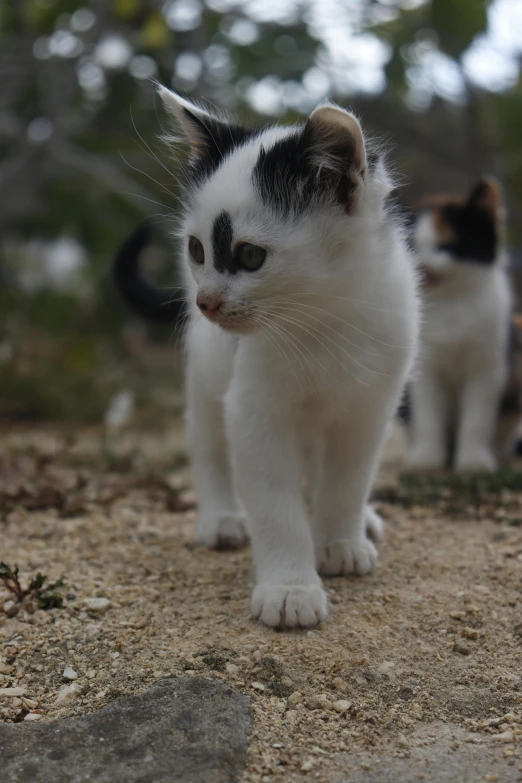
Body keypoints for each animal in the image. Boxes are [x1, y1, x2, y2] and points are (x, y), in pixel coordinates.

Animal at [402, 179, 512, 472]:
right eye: (412, 246)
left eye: (446, 245)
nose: (423, 264)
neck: (450, 301)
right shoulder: (425, 370)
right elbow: (428, 414)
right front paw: (427, 457)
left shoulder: (487, 367)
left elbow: (477, 417)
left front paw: (473, 460)